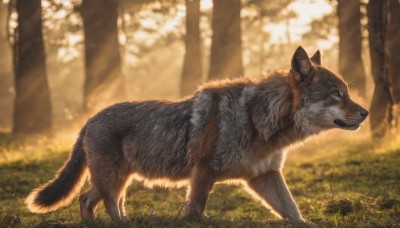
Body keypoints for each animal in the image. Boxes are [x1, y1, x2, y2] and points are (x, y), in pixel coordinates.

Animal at [25, 46, 368, 223]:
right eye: (337, 94)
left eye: (347, 93)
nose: (365, 113)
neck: (256, 119)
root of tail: (90, 119)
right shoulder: (203, 172)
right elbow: (195, 211)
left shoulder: (265, 175)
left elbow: (294, 213)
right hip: (112, 180)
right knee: (106, 206)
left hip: (118, 180)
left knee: (87, 200)